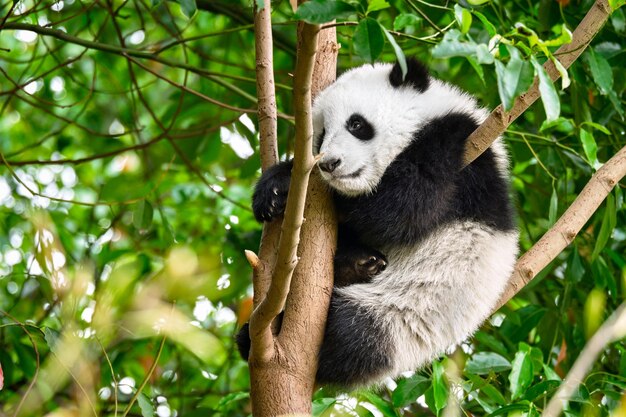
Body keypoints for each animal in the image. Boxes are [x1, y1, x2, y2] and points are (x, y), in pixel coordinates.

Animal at [238, 57, 516, 386]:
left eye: (356, 124)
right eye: (321, 135)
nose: (330, 164)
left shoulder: (462, 149)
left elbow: (402, 207)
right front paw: (275, 190)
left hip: (401, 315)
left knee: (353, 336)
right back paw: (358, 263)